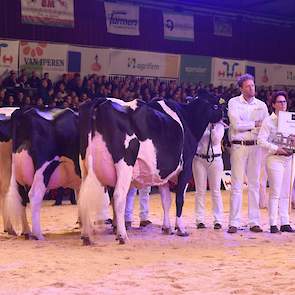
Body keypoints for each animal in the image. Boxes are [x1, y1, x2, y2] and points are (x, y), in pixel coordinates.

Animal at [5, 107, 82, 240]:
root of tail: (25, 113)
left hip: (18, 175)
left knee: (22, 199)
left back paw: (27, 232)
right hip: (43, 169)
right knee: (34, 195)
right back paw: (38, 235)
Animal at [78, 95, 224, 245]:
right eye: (217, 105)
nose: (224, 114)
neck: (188, 118)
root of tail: (102, 100)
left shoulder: (163, 174)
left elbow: (166, 200)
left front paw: (167, 227)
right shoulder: (186, 167)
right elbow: (179, 199)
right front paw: (180, 229)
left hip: (84, 166)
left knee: (82, 197)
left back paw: (86, 235)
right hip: (124, 164)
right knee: (118, 197)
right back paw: (122, 235)